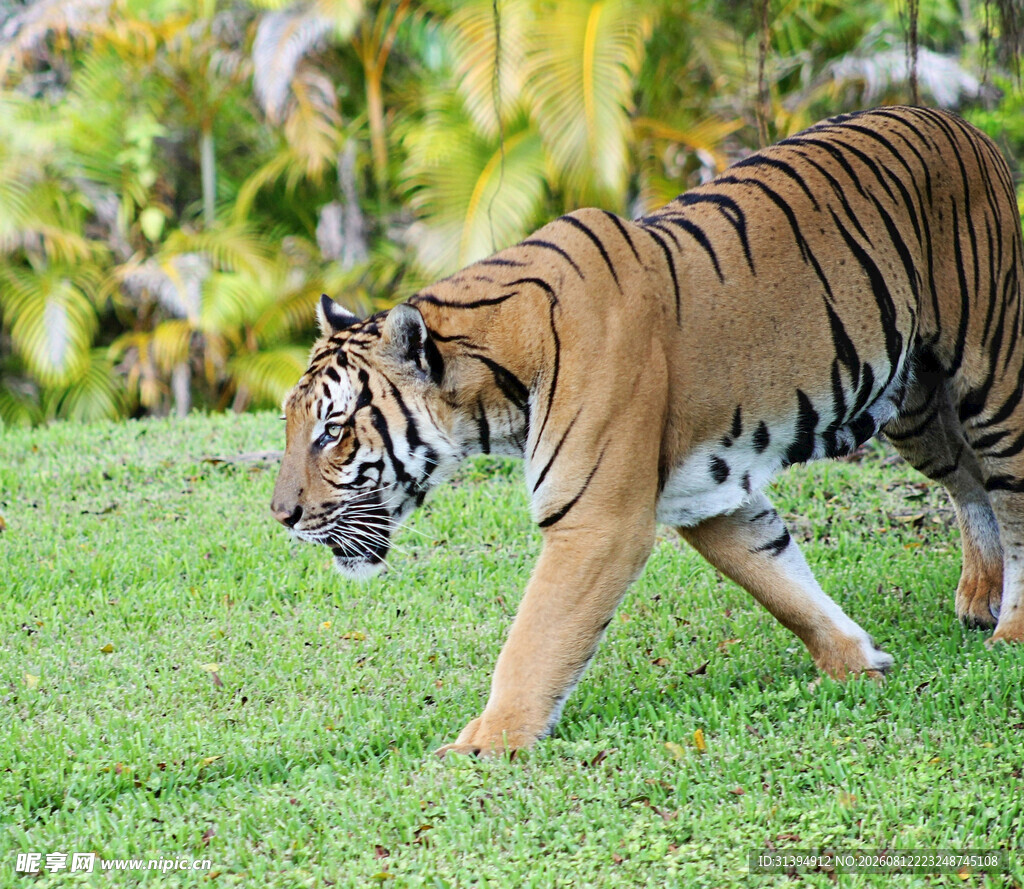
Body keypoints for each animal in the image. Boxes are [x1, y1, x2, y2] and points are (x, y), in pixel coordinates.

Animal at [271, 105, 1024, 757]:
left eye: (332, 430)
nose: (281, 516)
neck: (494, 387)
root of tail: (957, 121)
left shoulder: (597, 521)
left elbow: (535, 638)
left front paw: (484, 744)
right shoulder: (710, 492)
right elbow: (781, 580)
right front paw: (857, 661)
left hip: (991, 369)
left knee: (1010, 489)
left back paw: (1010, 628)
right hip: (911, 407)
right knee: (965, 478)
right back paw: (978, 594)